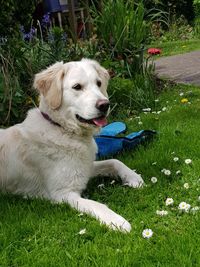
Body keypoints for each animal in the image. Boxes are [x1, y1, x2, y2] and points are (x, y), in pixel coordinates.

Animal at [0, 59, 144, 232]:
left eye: (98, 83)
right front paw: (118, 221)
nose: (105, 105)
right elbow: (98, 205)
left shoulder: (85, 168)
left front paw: (133, 177)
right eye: (77, 87)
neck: (63, 129)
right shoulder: (63, 193)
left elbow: (114, 161)